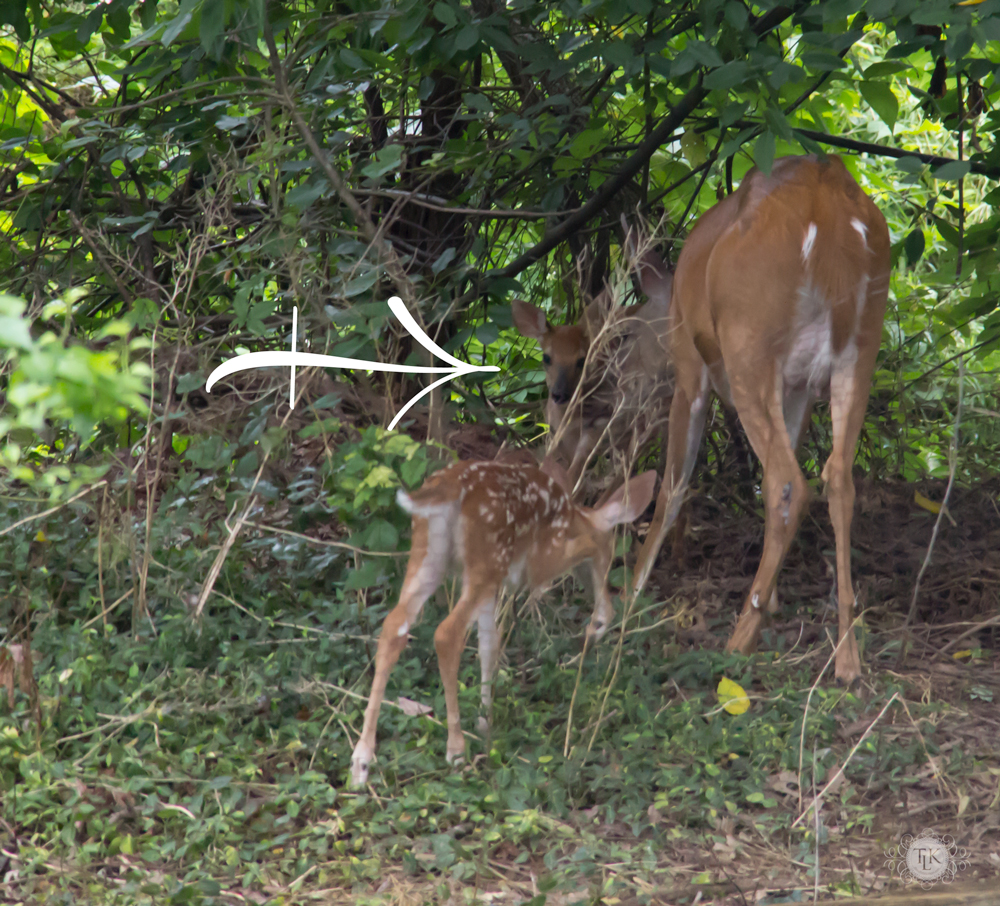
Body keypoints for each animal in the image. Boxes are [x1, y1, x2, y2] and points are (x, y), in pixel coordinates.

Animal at [348, 460, 660, 784]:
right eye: (612, 549)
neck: (575, 519)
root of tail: (448, 487)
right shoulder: (542, 561)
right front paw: (598, 622)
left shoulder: (492, 589)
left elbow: (489, 644)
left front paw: (485, 720)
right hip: (488, 555)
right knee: (446, 633)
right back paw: (456, 752)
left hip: (432, 555)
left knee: (394, 624)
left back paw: (361, 761)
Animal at [516, 230, 672, 490]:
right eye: (546, 357)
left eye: (582, 360)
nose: (559, 394)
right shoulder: (558, 434)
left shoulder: (599, 428)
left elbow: (574, 475)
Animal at [632, 154, 892, 680]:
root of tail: (824, 199)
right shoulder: (798, 389)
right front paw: (772, 602)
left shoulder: (690, 370)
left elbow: (672, 484)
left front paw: (631, 591)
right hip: (860, 349)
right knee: (838, 477)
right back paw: (847, 658)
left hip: (747, 341)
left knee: (787, 481)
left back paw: (738, 642)